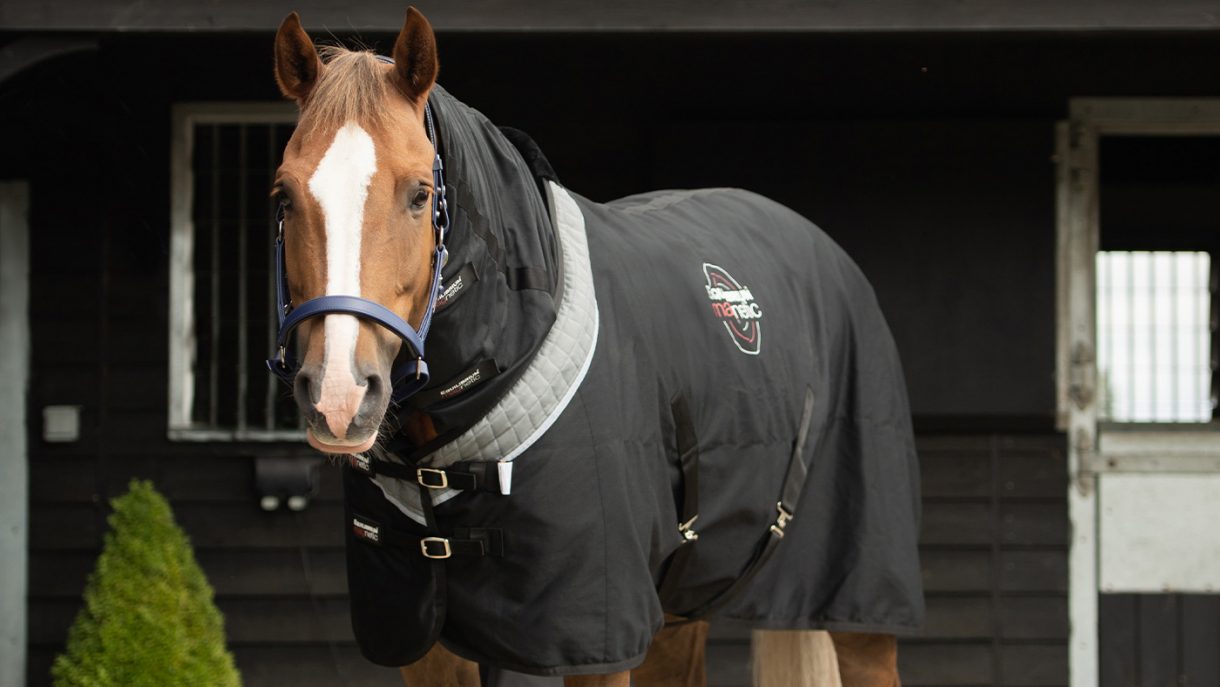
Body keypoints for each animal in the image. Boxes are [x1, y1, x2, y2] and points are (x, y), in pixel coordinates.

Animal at [268, 8, 923, 687]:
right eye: (284, 196)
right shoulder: (422, 640)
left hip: (859, 600)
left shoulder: (595, 634)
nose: (339, 396)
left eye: (421, 193)